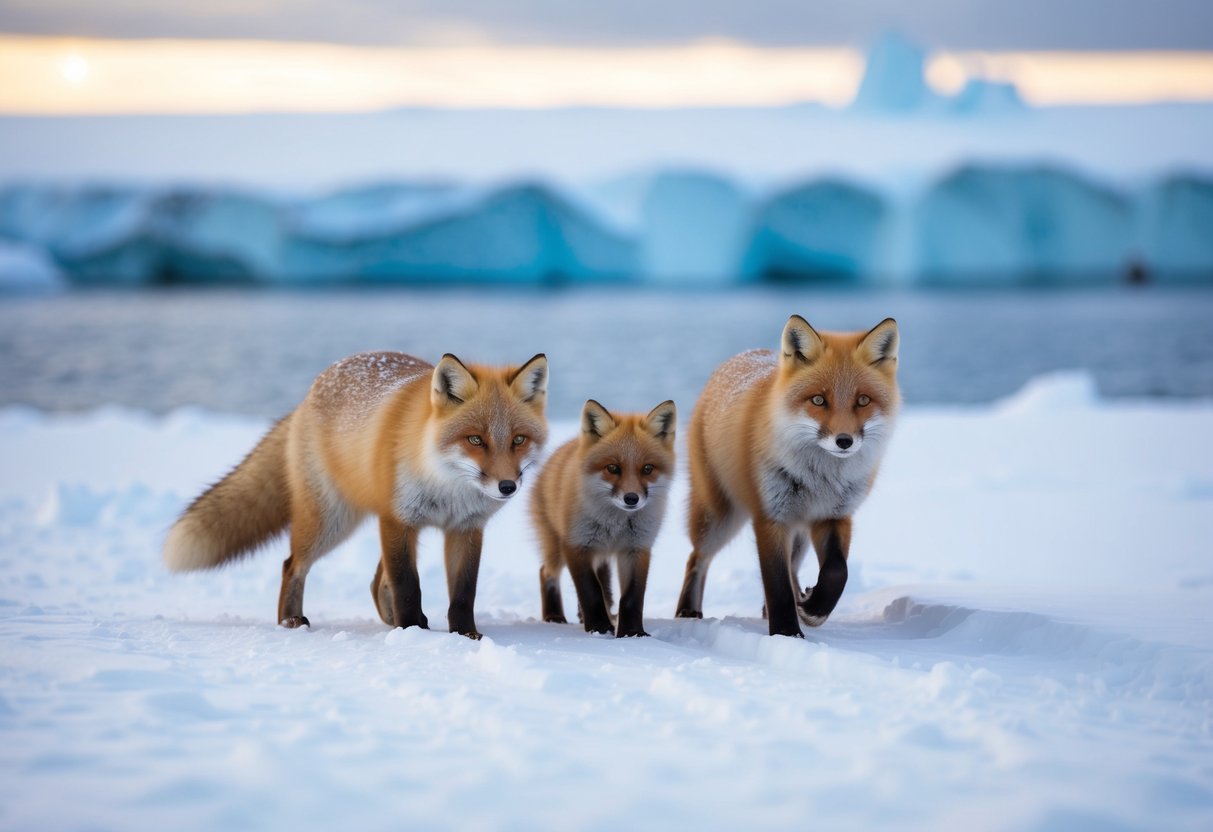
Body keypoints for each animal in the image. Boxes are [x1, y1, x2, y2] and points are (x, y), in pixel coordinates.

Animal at [163, 350, 549, 639]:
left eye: (518, 439)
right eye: (475, 440)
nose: (507, 487)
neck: (447, 487)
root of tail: (308, 396)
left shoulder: (465, 528)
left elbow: (464, 592)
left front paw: (465, 635)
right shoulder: (397, 518)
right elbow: (407, 584)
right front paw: (411, 634)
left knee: (376, 580)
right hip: (332, 522)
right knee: (292, 565)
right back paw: (290, 621)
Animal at [532, 399, 677, 638]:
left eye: (647, 468)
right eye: (613, 468)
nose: (631, 498)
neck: (615, 524)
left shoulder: (636, 548)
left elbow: (632, 598)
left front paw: (632, 633)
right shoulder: (576, 545)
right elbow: (591, 592)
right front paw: (599, 629)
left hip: (599, 554)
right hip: (556, 548)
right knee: (546, 572)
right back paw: (554, 616)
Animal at [674, 315, 899, 637]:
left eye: (862, 400)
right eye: (818, 400)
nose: (844, 441)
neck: (820, 480)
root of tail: (738, 357)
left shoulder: (834, 516)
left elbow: (837, 572)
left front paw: (814, 609)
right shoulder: (770, 518)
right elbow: (777, 583)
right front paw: (786, 633)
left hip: (799, 531)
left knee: (793, 566)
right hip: (719, 517)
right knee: (697, 558)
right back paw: (687, 612)